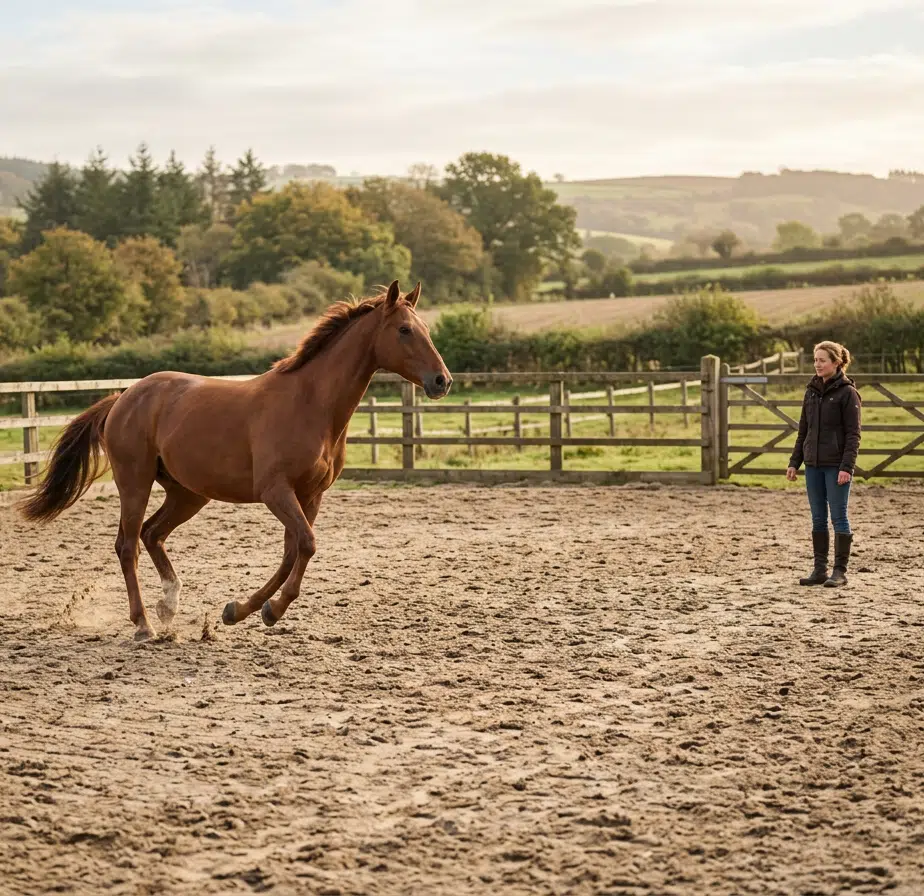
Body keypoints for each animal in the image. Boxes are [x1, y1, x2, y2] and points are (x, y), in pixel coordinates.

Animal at [18, 280, 452, 642]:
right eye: (404, 330)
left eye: (426, 330)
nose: (442, 381)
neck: (311, 404)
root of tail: (124, 397)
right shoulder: (276, 491)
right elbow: (307, 544)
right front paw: (268, 610)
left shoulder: (311, 496)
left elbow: (293, 552)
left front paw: (242, 611)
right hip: (135, 482)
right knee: (128, 544)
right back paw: (143, 625)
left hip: (189, 493)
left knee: (152, 533)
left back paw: (168, 606)